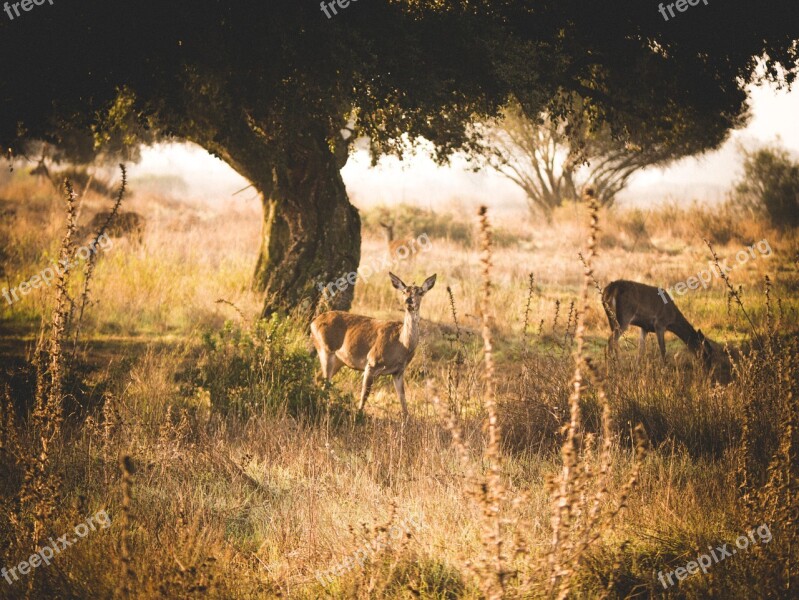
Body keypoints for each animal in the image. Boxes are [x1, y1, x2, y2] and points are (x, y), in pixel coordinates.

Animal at [310, 272, 438, 418]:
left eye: (421, 292)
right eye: (404, 291)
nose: (409, 301)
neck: (402, 345)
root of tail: (313, 322)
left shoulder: (399, 371)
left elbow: (403, 402)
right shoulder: (371, 363)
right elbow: (364, 397)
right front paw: (359, 416)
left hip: (338, 360)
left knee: (319, 378)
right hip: (325, 349)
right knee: (325, 382)